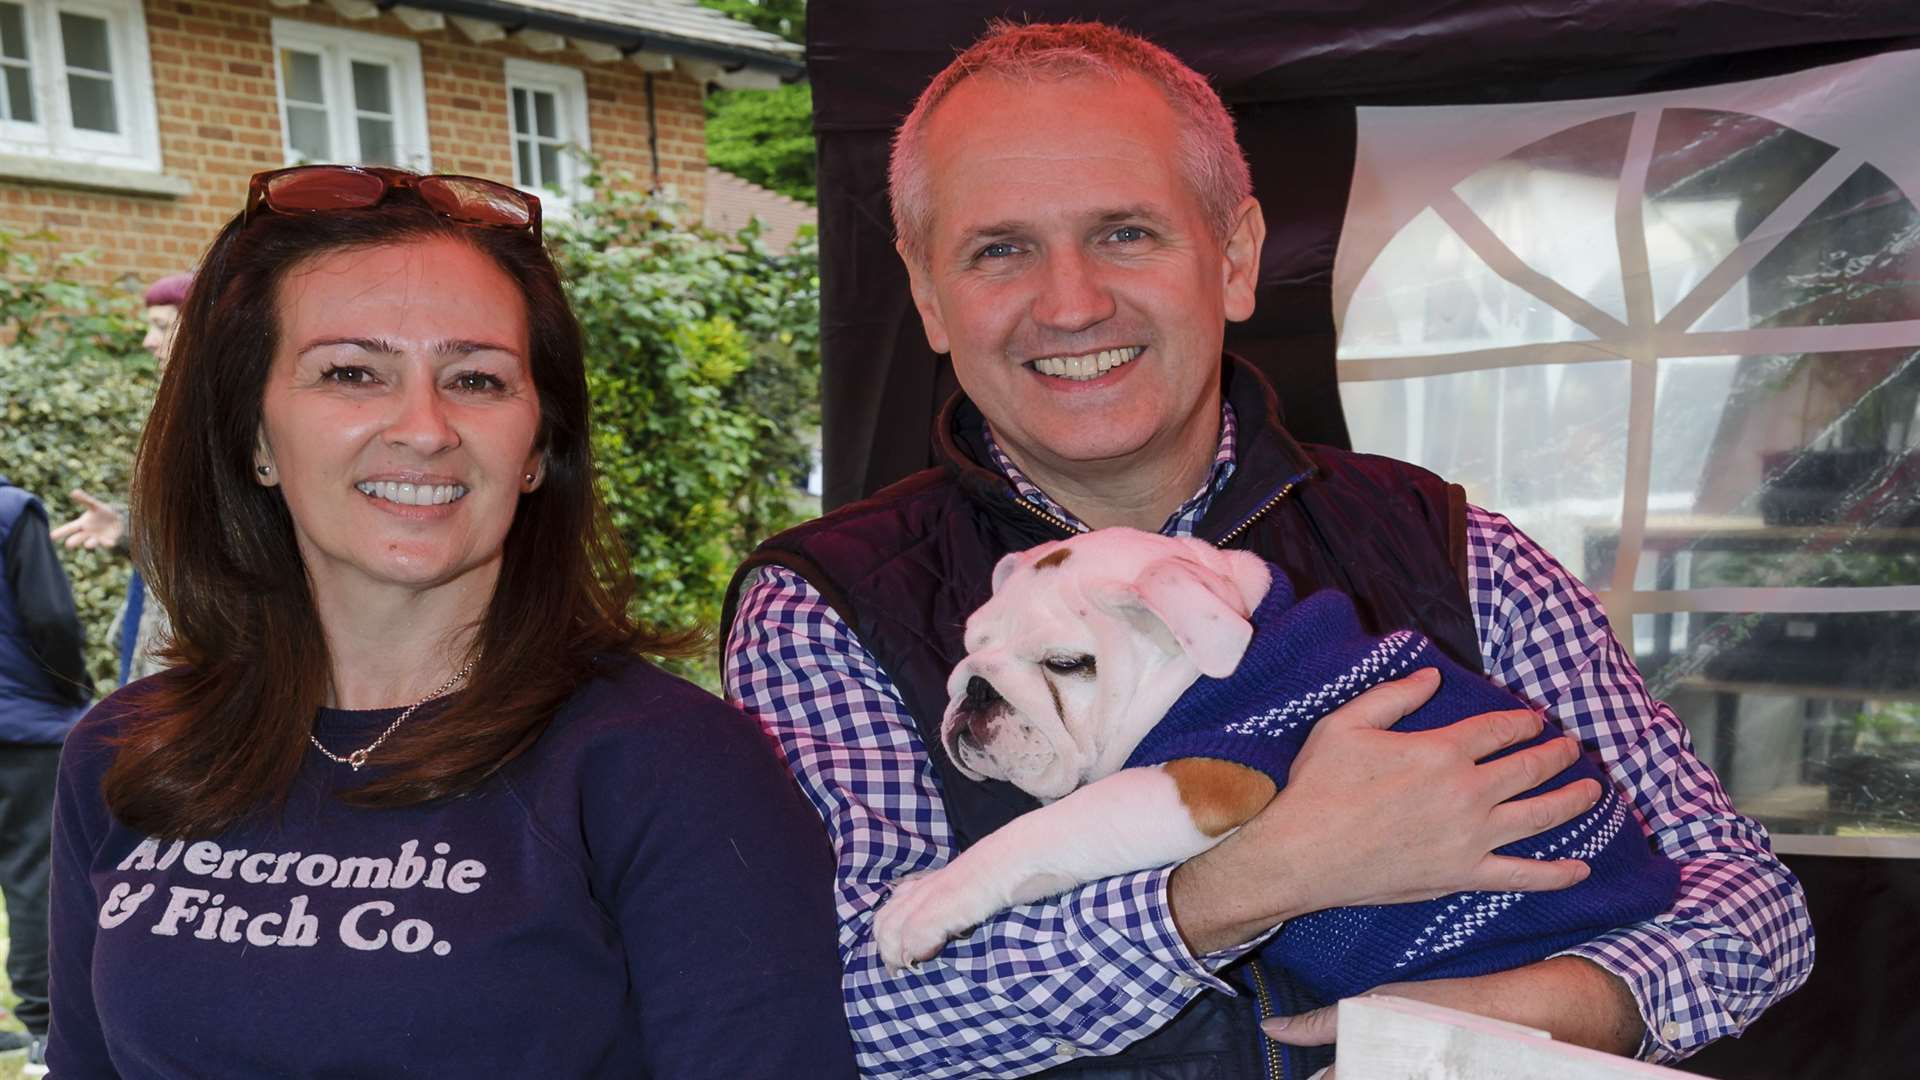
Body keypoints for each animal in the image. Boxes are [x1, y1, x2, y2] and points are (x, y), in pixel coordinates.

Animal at [879, 530, 1282, 968]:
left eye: (1064, 663)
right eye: (973, 645)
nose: (976, 686)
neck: (1180, 681)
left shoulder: (1208, 781)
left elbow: (1045, 827)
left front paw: (927, 899)